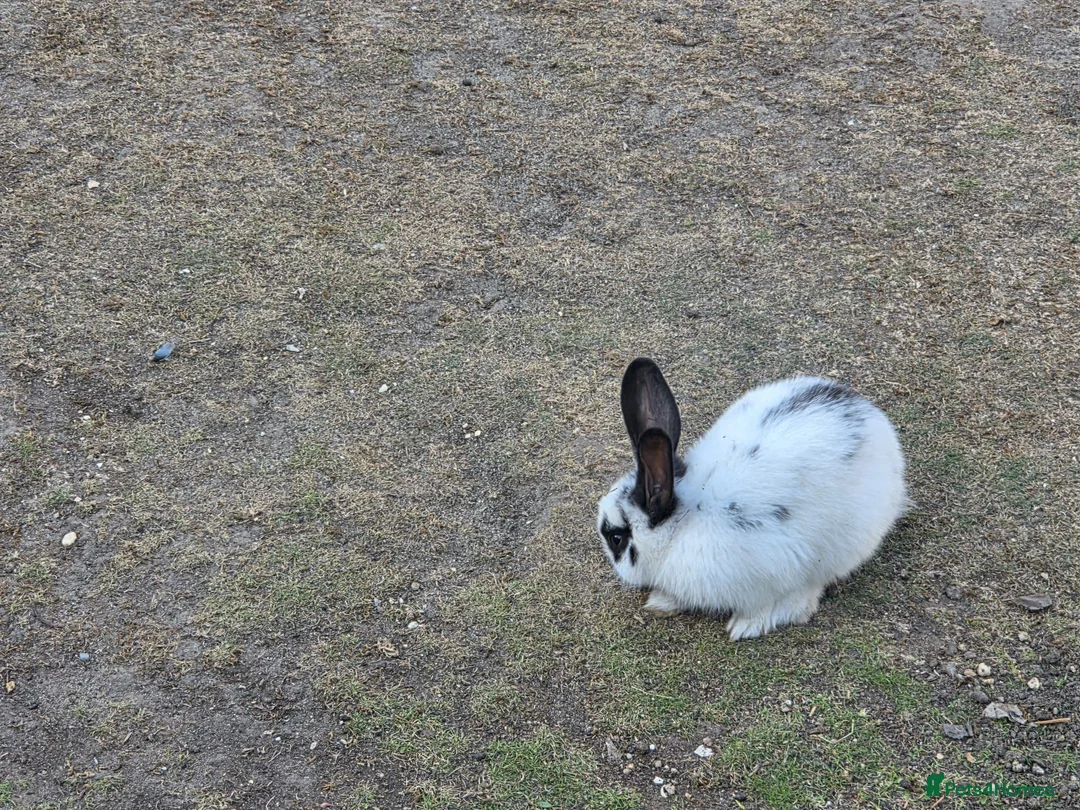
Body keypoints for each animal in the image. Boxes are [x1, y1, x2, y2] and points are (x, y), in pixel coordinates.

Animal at [596, 357, 907, 641]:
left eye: (616, 538)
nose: (613, 566)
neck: (683, 524)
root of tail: (875, 421)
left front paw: (746, 626)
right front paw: (662, 602)